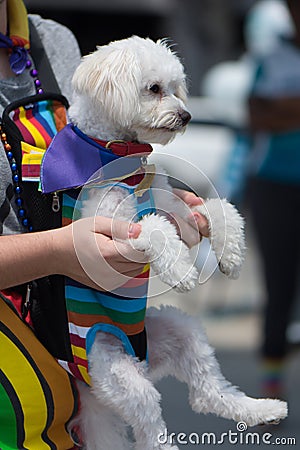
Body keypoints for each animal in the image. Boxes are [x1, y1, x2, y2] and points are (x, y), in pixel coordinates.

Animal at [67, 36, 288, 450]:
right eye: (154, 88)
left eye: (175, 87)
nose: (186, 116)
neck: (121, 157)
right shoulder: (112, 229)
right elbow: (153, 226)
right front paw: (182, 271)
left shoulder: (175, 205)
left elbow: (219, 207)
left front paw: (232, 253)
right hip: (117, 373)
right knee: (149, 425)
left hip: (179, 332)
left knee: (207, 392)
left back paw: (262, 409)